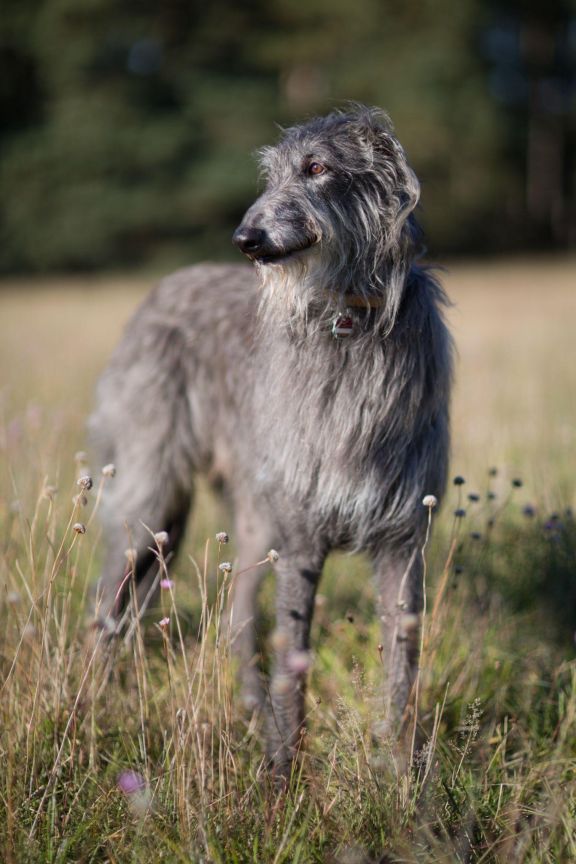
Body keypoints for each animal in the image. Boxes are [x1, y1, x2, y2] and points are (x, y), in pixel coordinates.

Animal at [90, 104, 452, 772]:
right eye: (273, 175)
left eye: (317, 168)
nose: (246, 240)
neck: (346, 320)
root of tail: (160, 288)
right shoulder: (302, 538)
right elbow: (293, 657)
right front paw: (284, 771)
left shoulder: (403, 540)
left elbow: (402, 664)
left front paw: (404, 775)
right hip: (153, 498)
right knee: (110, 597)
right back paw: (90, 696)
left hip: (253, 519)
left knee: (236, 615)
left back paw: (250, 705)